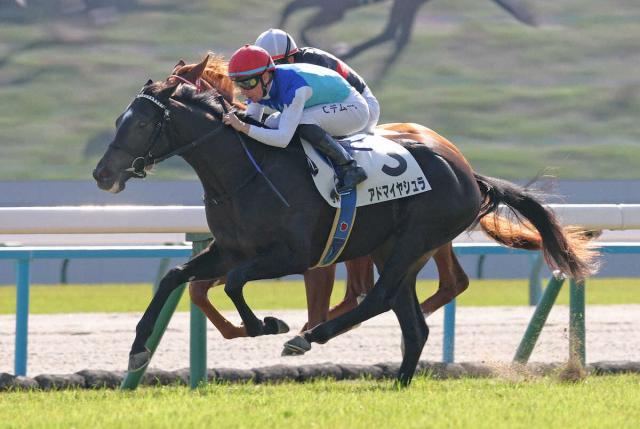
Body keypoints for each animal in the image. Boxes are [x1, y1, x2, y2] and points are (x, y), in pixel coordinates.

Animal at [93, 58, 598, 386]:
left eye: (142, 125)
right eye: (120, 119)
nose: (102, 174)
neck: (243, 173)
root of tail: (467, 172)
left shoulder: (292, 255)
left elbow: (234, 284)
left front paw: (270, 325)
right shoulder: (230, 250)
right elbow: (175, 276)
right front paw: (138, 351)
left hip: (413, 241)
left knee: (380, 297)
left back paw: (310, 337)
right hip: (393, 248)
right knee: (411, 322)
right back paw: (398, 382)